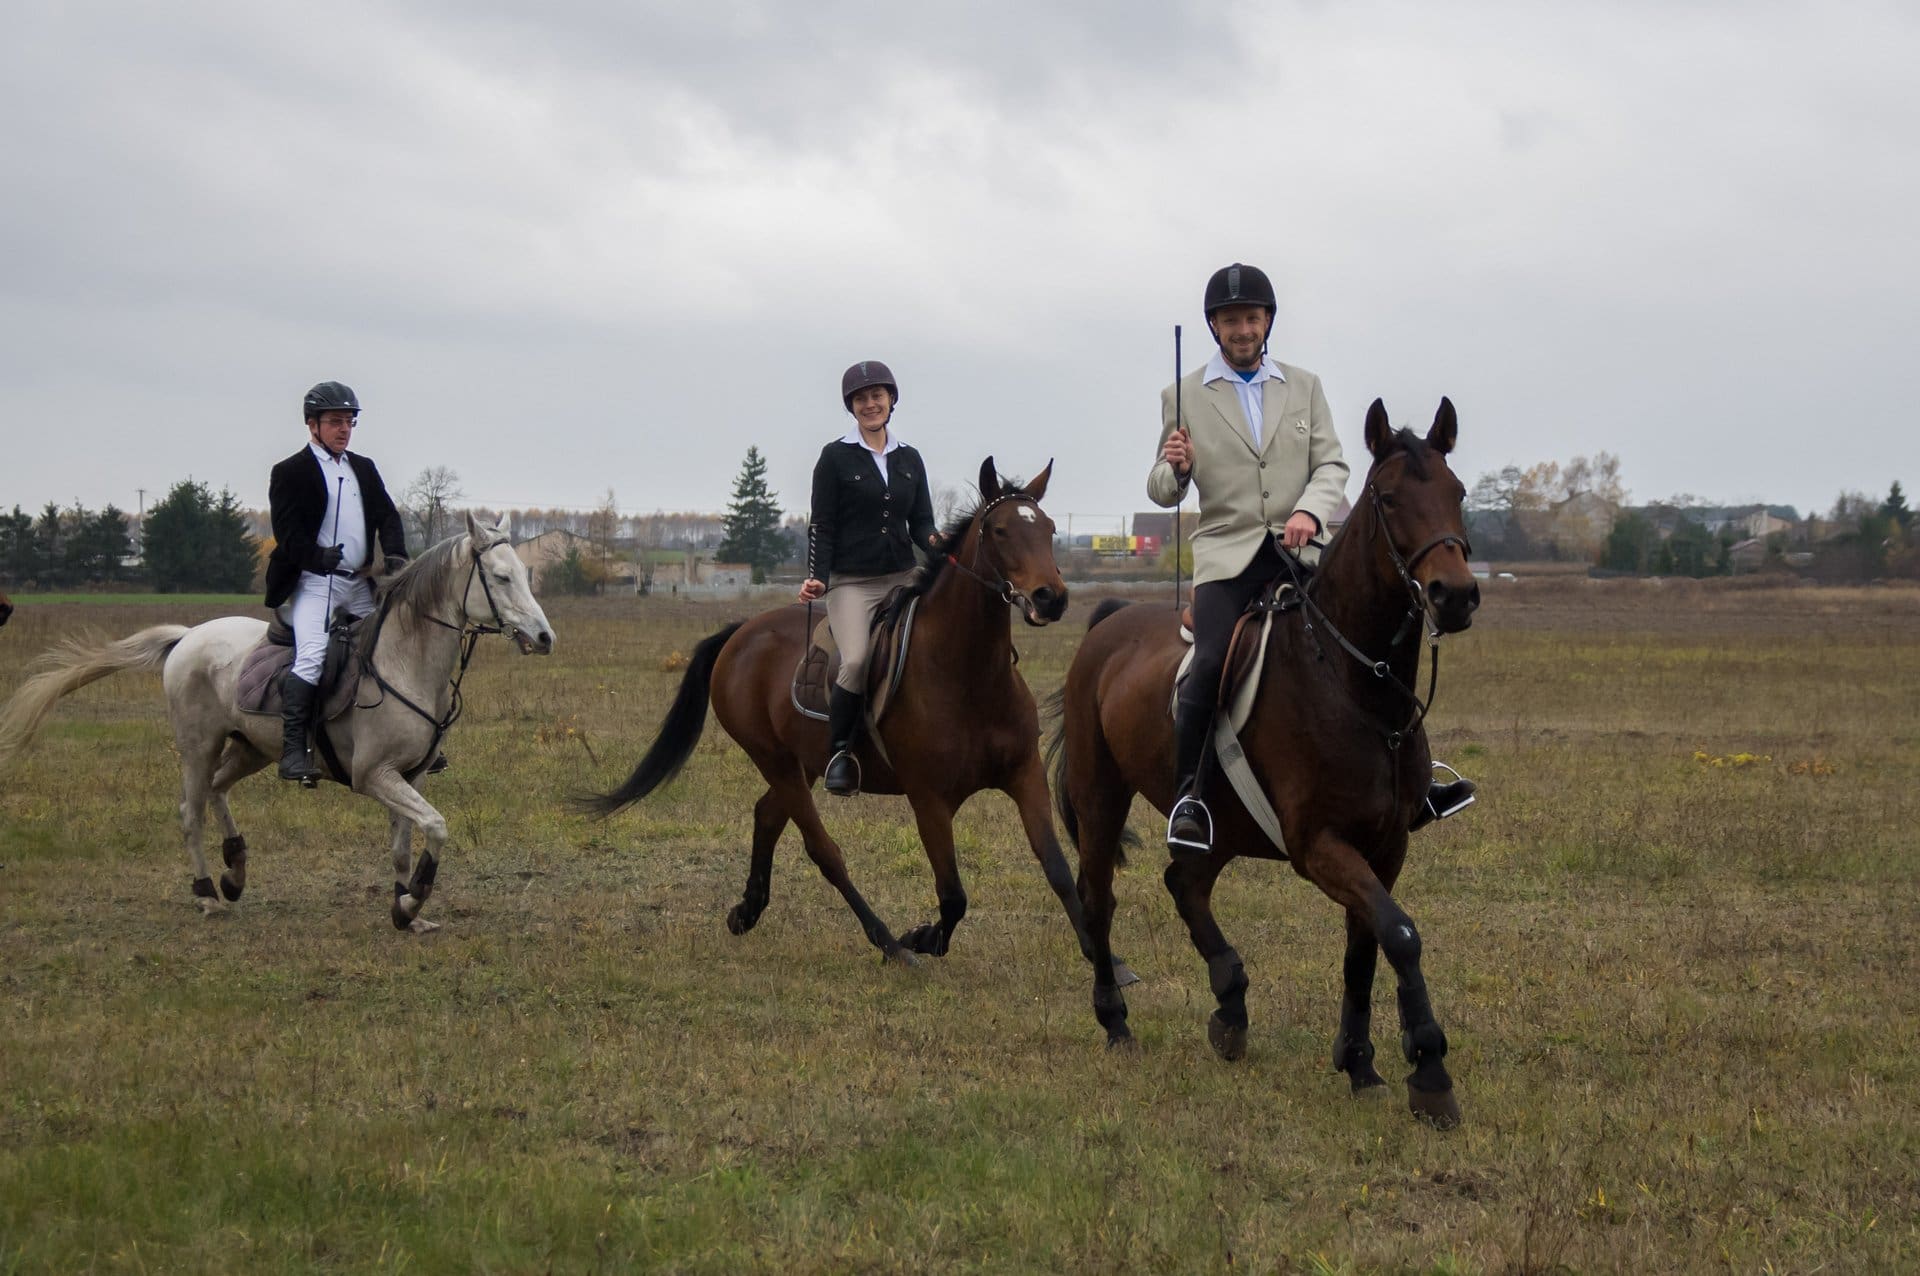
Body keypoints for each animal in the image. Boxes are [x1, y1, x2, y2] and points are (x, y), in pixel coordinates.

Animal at [0, 513, 555, 932]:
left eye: (525, 574)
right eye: (500, 577)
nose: (545, 637)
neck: (403, 662)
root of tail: (186, 637)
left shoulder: (410, 776)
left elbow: (405, 844)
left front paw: (405, 910)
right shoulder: (374, 776)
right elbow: (436, 826)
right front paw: (414, 899)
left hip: (250, 748)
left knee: (218, 790)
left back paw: (235, 871)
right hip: (198, 746)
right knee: (190, 810)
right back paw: (207, 892)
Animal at [582, 458, 1130, 977]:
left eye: (1050, 528)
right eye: (999, 530)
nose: (1050, 598)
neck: (969, 672)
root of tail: (741, 633)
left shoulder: (1024, 775)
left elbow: (1057, 868)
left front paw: (1104, 958)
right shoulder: (929, 799)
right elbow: (953, 895)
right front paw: (922, 939)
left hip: (800, 764)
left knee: (767, 815)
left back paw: (748, 911)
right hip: (774, 760)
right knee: (824, 852)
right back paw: (889, 944)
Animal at [1049, 399, 1479, 1126]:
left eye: (1458, 493)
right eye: (1390, 499)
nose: (1456, 595)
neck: (1356, 685)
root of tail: (1109, 623)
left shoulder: (1385, 845)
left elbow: (1364, 947)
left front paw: (1360, 1063)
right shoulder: (1319, 845)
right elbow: (1399, 932)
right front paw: (1429, 1069)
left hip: (1219, 823)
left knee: (1185, 883)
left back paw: (1230, 1006)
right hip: (1102, 795)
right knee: (1100, 898)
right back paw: (1117, 1021)